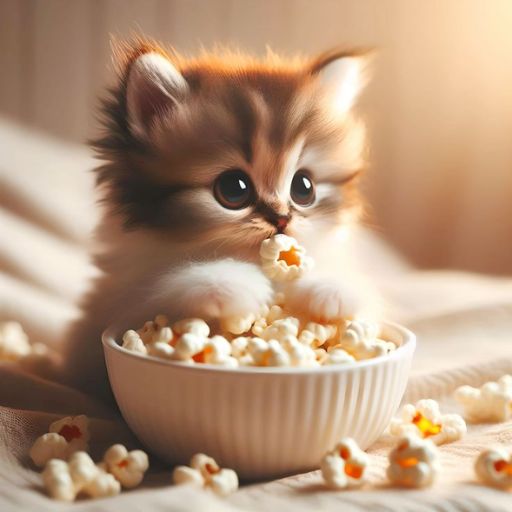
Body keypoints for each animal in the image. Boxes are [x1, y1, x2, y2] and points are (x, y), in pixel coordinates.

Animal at [63, 41, 380, 400]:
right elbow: (163, 288)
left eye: (304, 188)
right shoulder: (121, 301)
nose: (282, 218)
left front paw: (331, 290)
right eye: (234, 189)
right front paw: (231, 286)